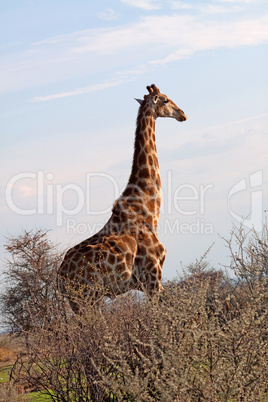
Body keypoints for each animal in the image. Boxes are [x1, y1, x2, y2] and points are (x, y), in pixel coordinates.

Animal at [58, 83, 186, 312]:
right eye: (165, 99)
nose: (182, 114)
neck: (148, 209)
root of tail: (60, 278)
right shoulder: (152, 277)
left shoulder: (149, 283)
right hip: (88, 298)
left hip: (79, 302)